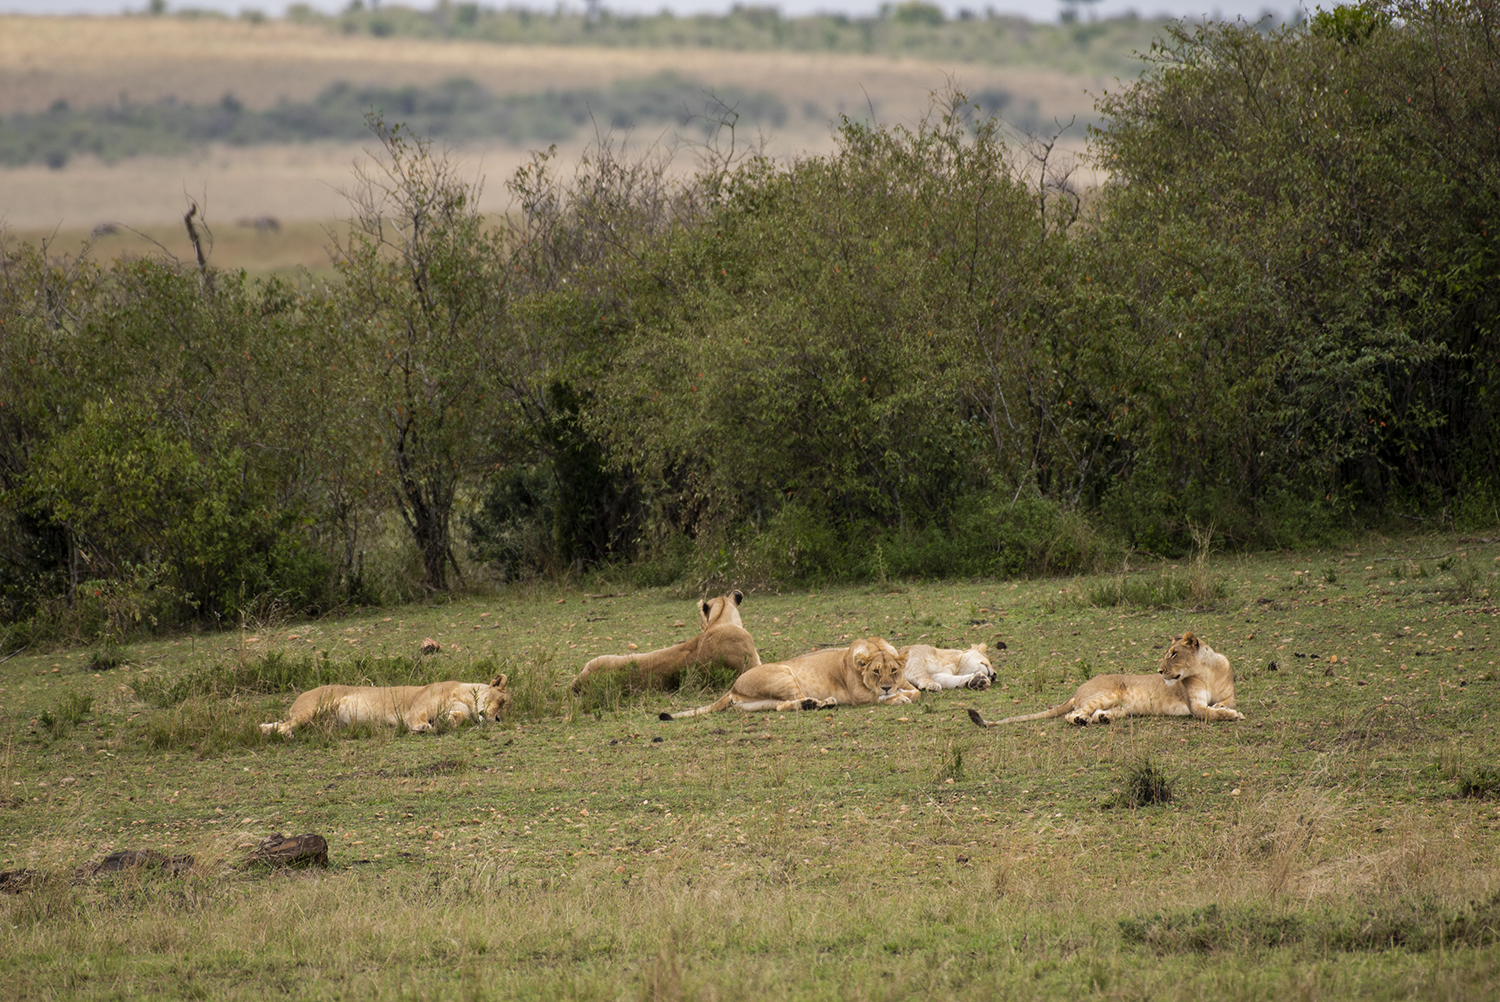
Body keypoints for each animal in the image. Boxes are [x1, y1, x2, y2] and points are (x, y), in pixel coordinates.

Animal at [261, 672, 513, 735]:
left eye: (506, 708)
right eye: (501, 701)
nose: (498, 719)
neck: (464, 697)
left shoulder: (459, 711)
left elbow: (456, 718)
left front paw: (448, 722)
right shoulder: (415, 708)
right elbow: (418, 719)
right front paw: (424, 727)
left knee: (274, 725)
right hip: (311, 709)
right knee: (285, 727)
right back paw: (286, 734)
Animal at [663, 639, 918, 717]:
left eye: (893, 670)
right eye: (875, 672)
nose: (887, 687)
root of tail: (732, 687)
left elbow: (915, 691)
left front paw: (901, 693)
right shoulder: (857, 696)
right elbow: (879, 698)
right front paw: (896, 698)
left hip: (761, 702)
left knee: (780, 706)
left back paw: (818, 703)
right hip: (784, 674)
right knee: (792, 701)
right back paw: (819, 703)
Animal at [972, 633, 1242, 729]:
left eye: (1174, 654)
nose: (1159, 670)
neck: (1207, 672)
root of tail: (1077, 689)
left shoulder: (1230, 693)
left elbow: (1226, 703)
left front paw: (1224, 707)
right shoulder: (1194, 706)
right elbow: (1210, 713)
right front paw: (1231, 714)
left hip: (1122, 708)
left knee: (1097, 714)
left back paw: (1102, 718)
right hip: (1107, 694)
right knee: (1070, 714)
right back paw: (1081, 720)